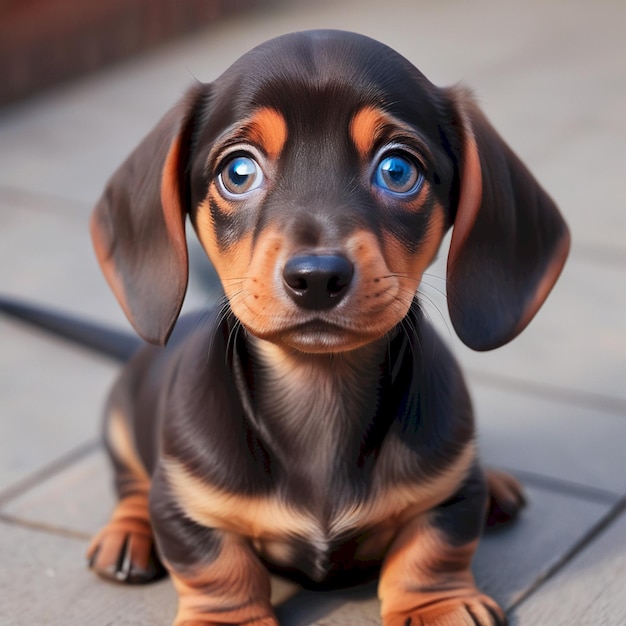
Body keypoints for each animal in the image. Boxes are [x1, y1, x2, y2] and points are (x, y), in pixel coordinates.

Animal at [85, 29, 568, 624]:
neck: (320, 389)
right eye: (238, 172)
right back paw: (127, 534)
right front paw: (228, 617)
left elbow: (433, 547)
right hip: (121, 423)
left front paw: (437, 606)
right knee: (130, 483)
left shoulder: (449, 497)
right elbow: (218, 566)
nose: (316, 278)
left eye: (397, 170)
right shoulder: (186, 504)